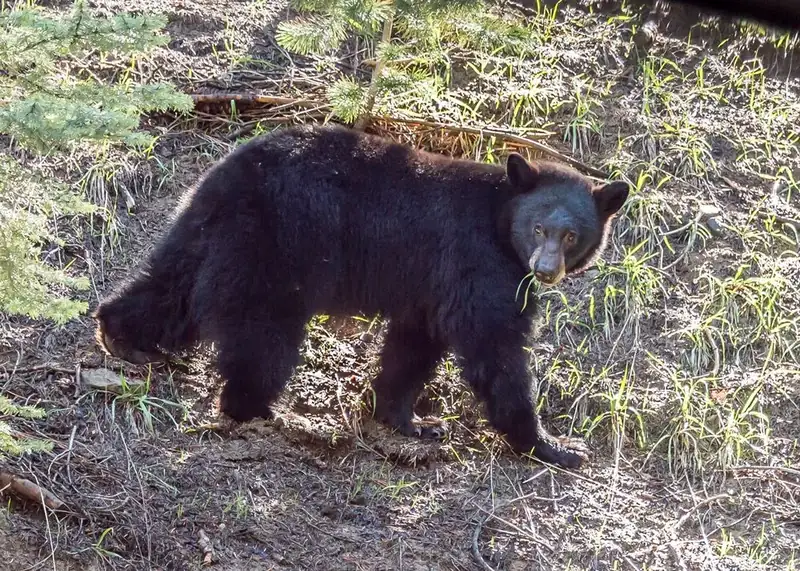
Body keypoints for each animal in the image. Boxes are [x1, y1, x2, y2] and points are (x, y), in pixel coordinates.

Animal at [94, 123, 629, 469]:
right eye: (539, 228)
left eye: (572, 235)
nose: (545, 270)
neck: (501, 219)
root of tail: (232, 171)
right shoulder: (477, 262)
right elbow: (492, 343)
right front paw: (554, 445)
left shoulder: (431, 285)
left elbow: (414, 345)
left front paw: (407, 420)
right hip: (279, 247)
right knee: (261, 335)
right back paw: (261, 412)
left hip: (206, 227)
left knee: (170, 285)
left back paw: (120, 335)